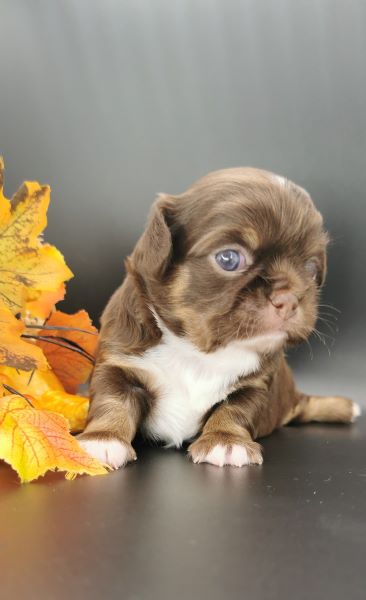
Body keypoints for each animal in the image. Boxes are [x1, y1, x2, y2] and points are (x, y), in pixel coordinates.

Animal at [78, 168, 360, 468]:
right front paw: (102, 439)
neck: (198, 351)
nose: (290, 298)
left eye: (310, 268)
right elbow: (112, 401)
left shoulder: (256, 385)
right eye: (229, 258)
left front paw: (226, 441)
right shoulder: (118, 364)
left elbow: (235, 409)